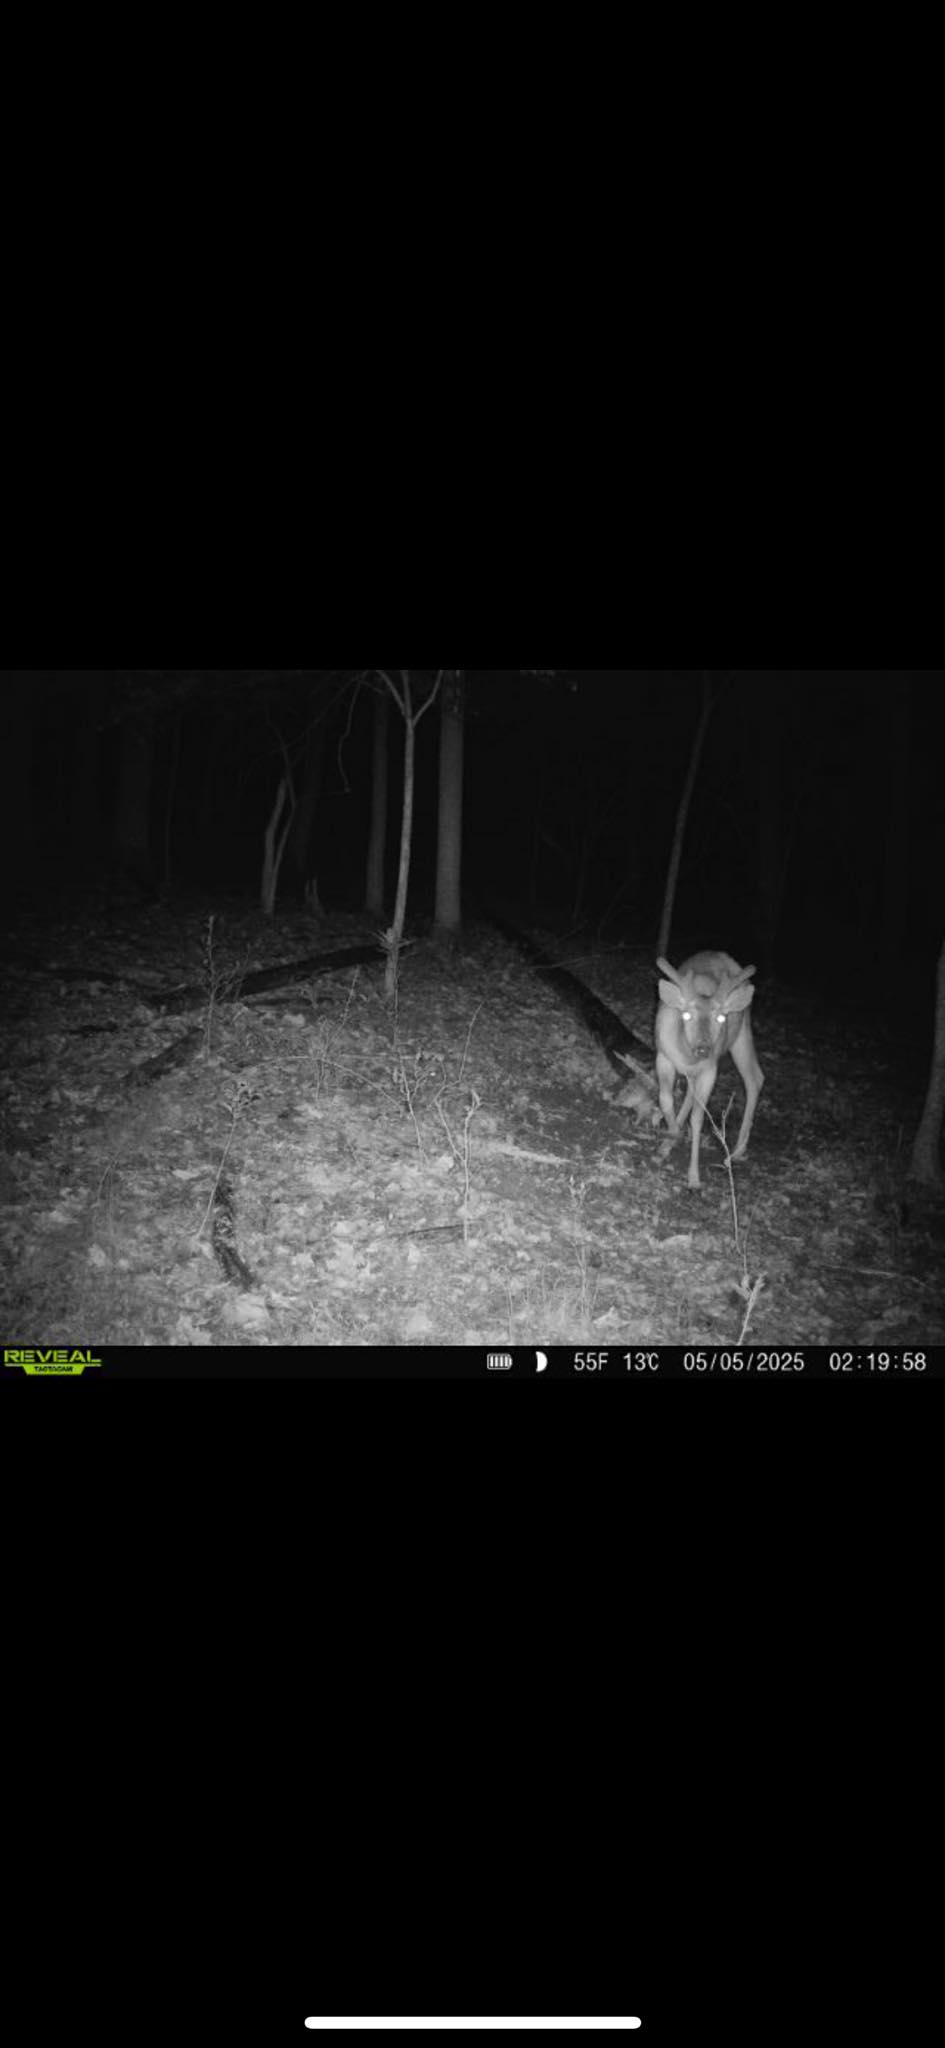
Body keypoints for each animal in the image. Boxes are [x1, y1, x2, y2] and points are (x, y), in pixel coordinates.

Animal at [655, 951, 763, 1190]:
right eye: (686, 1015)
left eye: (720, 1017)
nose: (703, 1048)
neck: (686, 1056)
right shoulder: (663, 1056)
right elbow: (665, 1099)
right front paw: (670, 1138)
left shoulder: (710, 1069)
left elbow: (698, 1118)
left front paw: (694, 1177)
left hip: (742, 1032)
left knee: (754, 1078)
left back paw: (736, 1152)